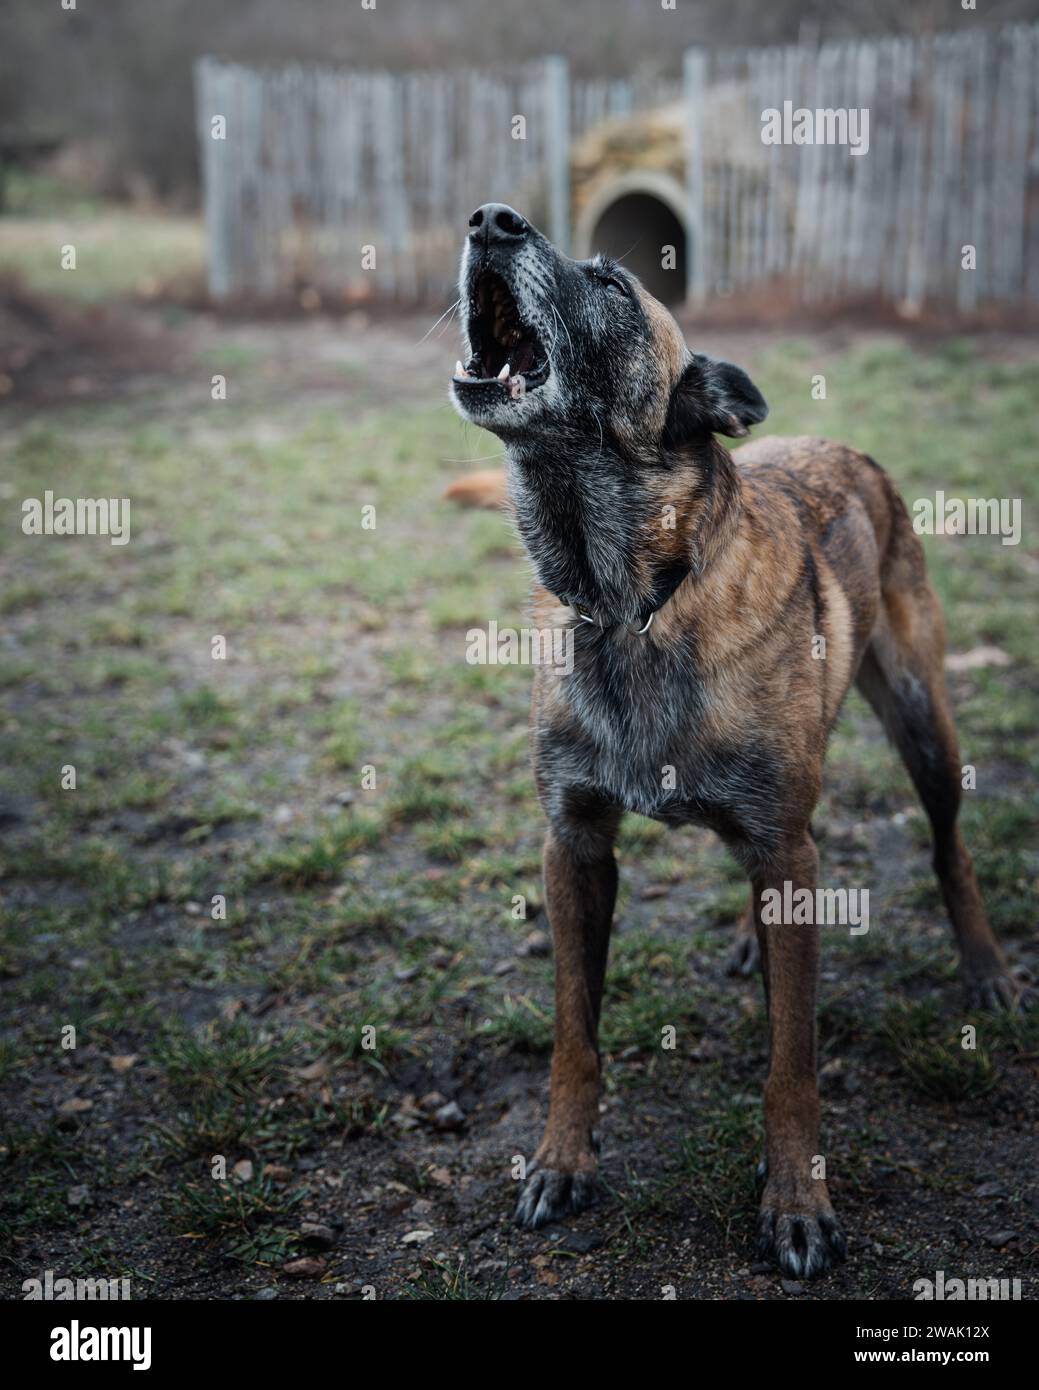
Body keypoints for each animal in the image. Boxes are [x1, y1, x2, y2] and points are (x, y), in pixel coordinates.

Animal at [445, 201, 1023, 1273]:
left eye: (612, 283)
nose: (491, 219)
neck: (630, 602)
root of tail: (841, 443)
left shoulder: (780, 841)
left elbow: (791, 1061)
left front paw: (796, 1199)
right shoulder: (573, 846)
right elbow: (573, 1036)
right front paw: (561, 1160)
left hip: (921, 723)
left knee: (948, 849)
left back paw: (985, 971)